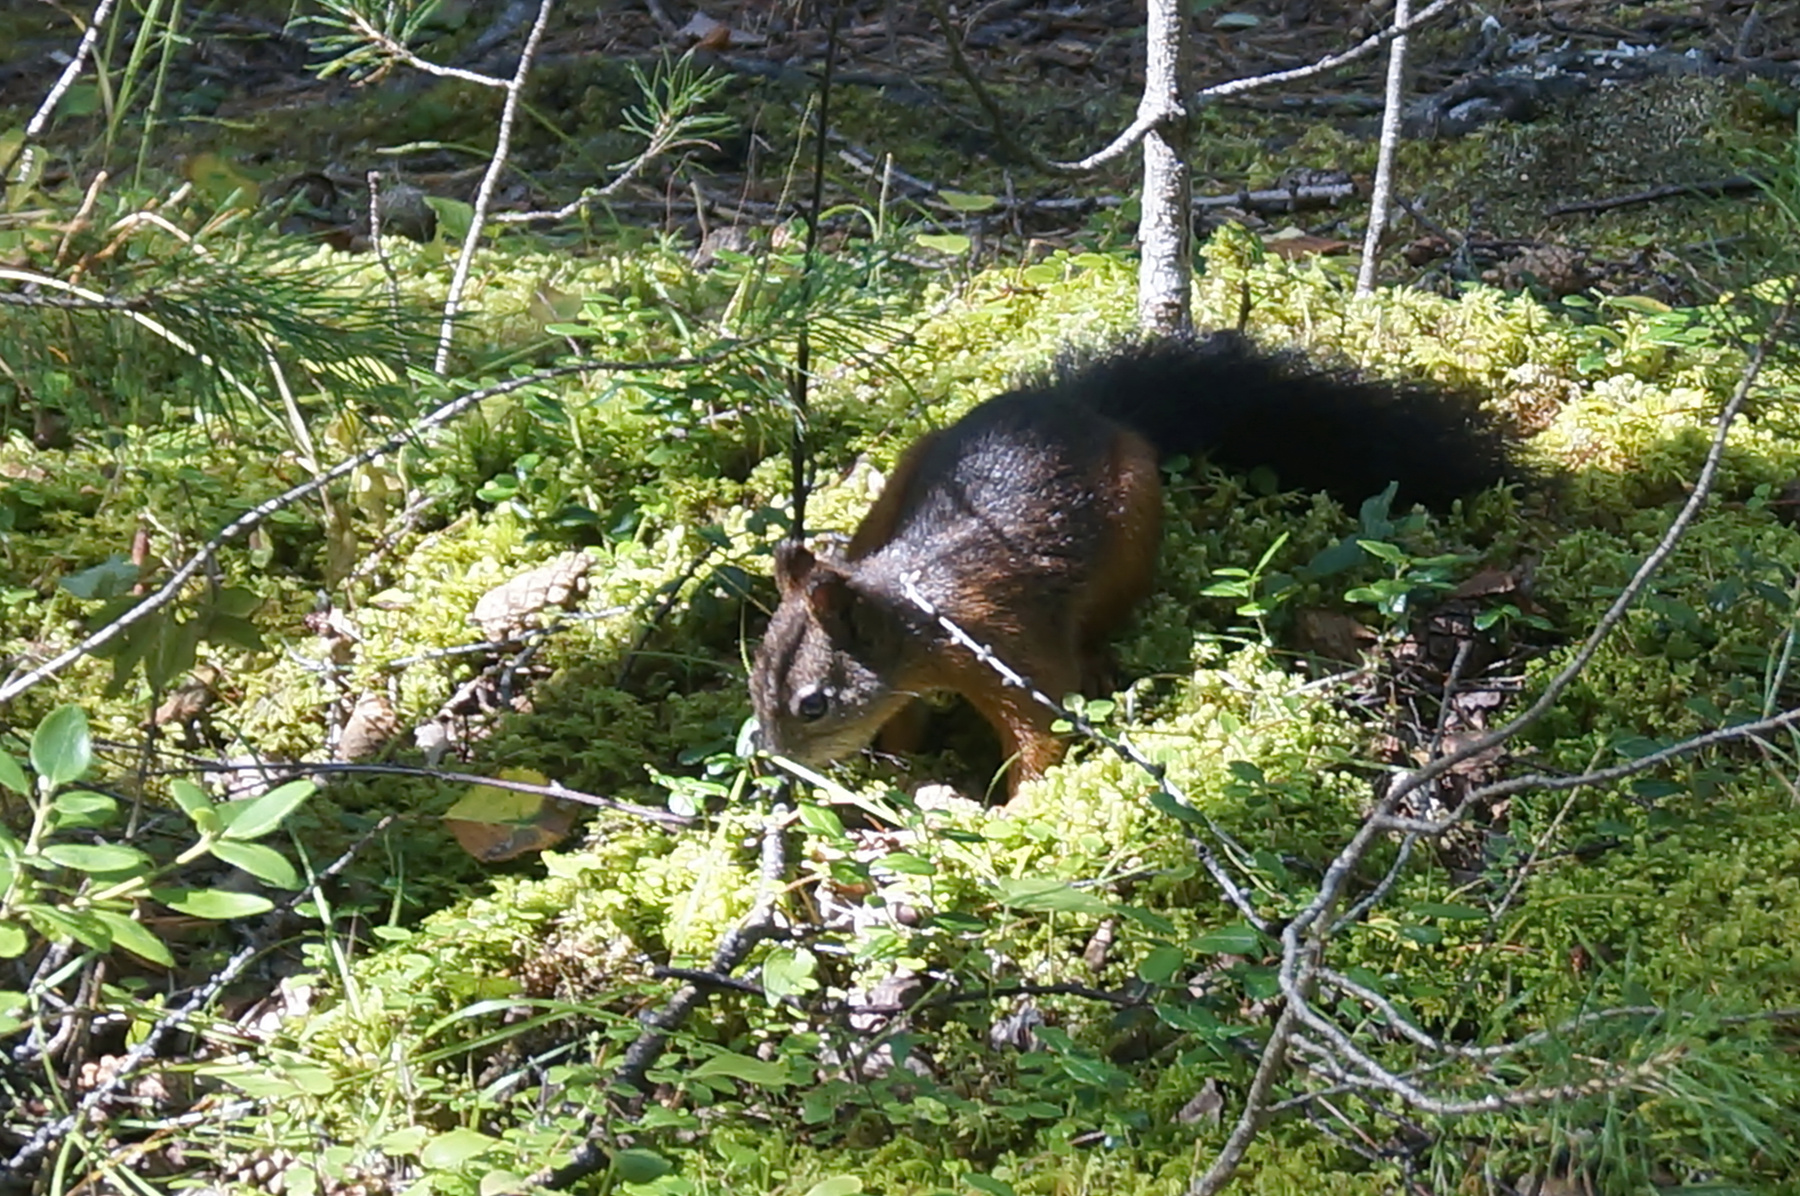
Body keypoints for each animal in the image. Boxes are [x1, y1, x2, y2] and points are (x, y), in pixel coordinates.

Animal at [749, 332, 1522, 798]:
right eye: (754, 680)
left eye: (813, 704)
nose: (773, 762)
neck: (919, 614)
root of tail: (1087, 411)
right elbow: (904, 719)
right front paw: (900, 772)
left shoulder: (1003, 642)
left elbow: (1041, 727)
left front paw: (1017, 809)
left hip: (1133, 525)